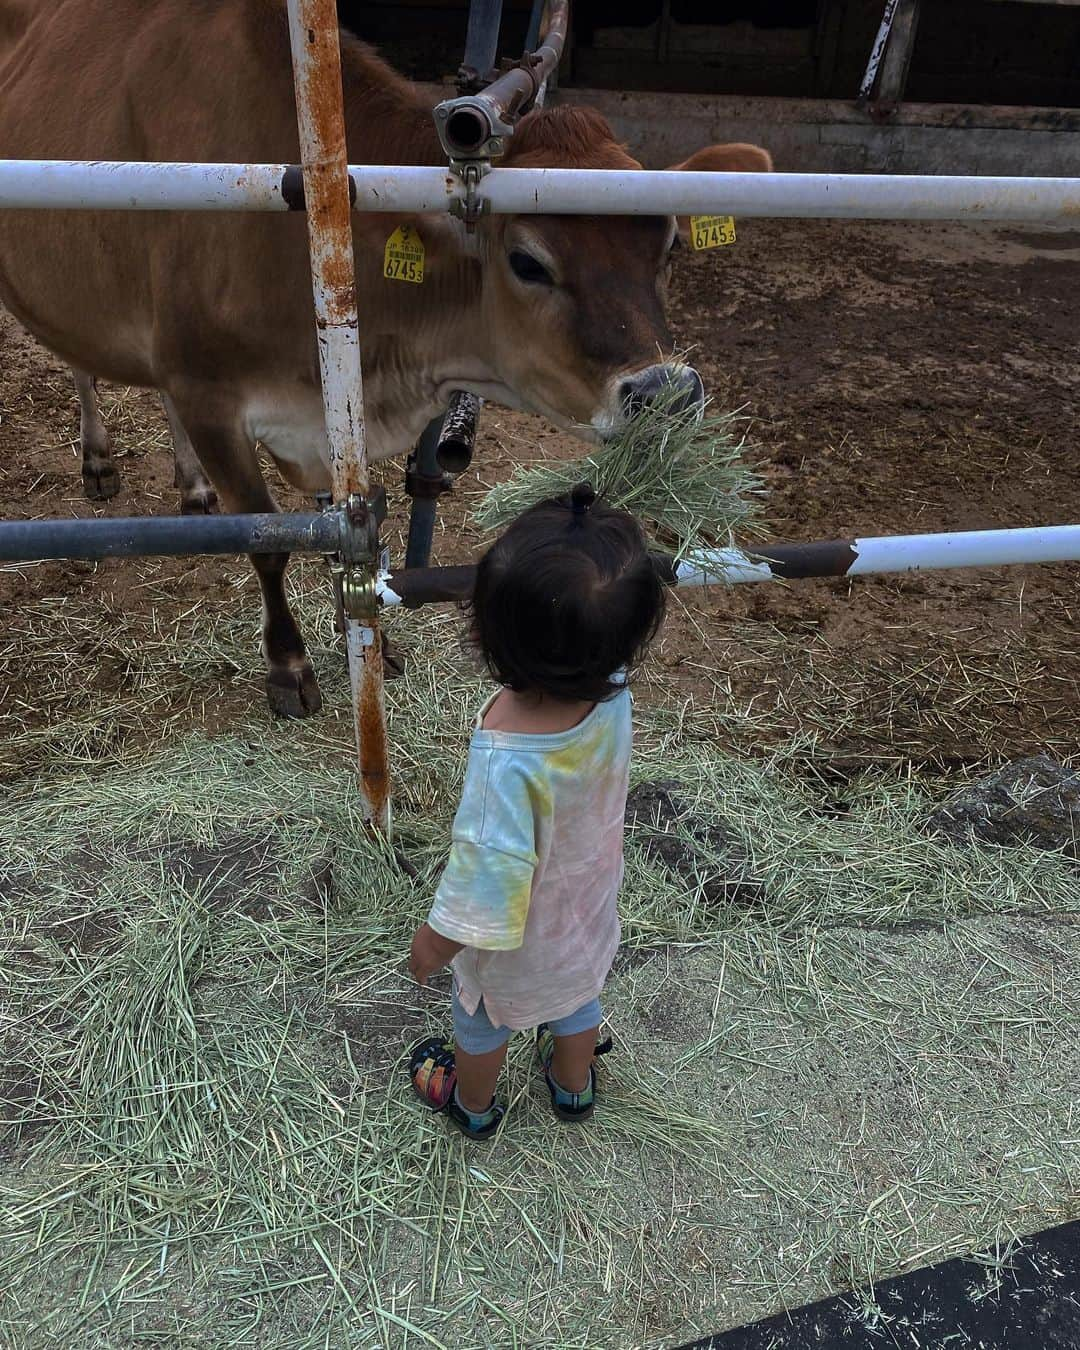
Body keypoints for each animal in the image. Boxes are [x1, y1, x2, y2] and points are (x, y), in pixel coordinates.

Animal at [0, 0, 777, 718]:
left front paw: (372, 643)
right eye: (528, 262)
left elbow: (350, 533)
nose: (668, 392)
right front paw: (290, 668)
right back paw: (99, 460)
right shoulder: (206, 391)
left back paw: (191, 488)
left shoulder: (322, 414)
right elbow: (268, 540)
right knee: (78, 359)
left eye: (670, 245)